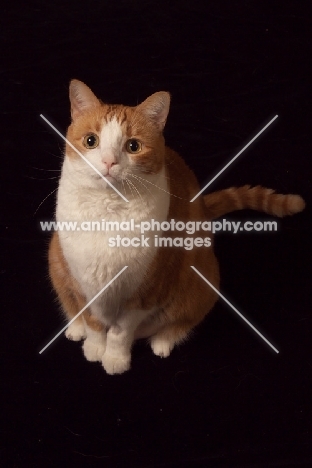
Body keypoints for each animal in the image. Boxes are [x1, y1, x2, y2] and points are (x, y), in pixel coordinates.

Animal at [48, 79, 304, 372]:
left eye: (133, 146)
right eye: (91, 141)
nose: (109, 162)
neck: (108, 214)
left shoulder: (144, 291)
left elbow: (120, 332)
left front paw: (115, 358)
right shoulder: (81, 280)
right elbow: (93, 321)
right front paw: (93, 346)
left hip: (201, 283)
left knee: (180, 323)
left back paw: (162, 342)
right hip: (55, 257)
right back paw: (75, 327)